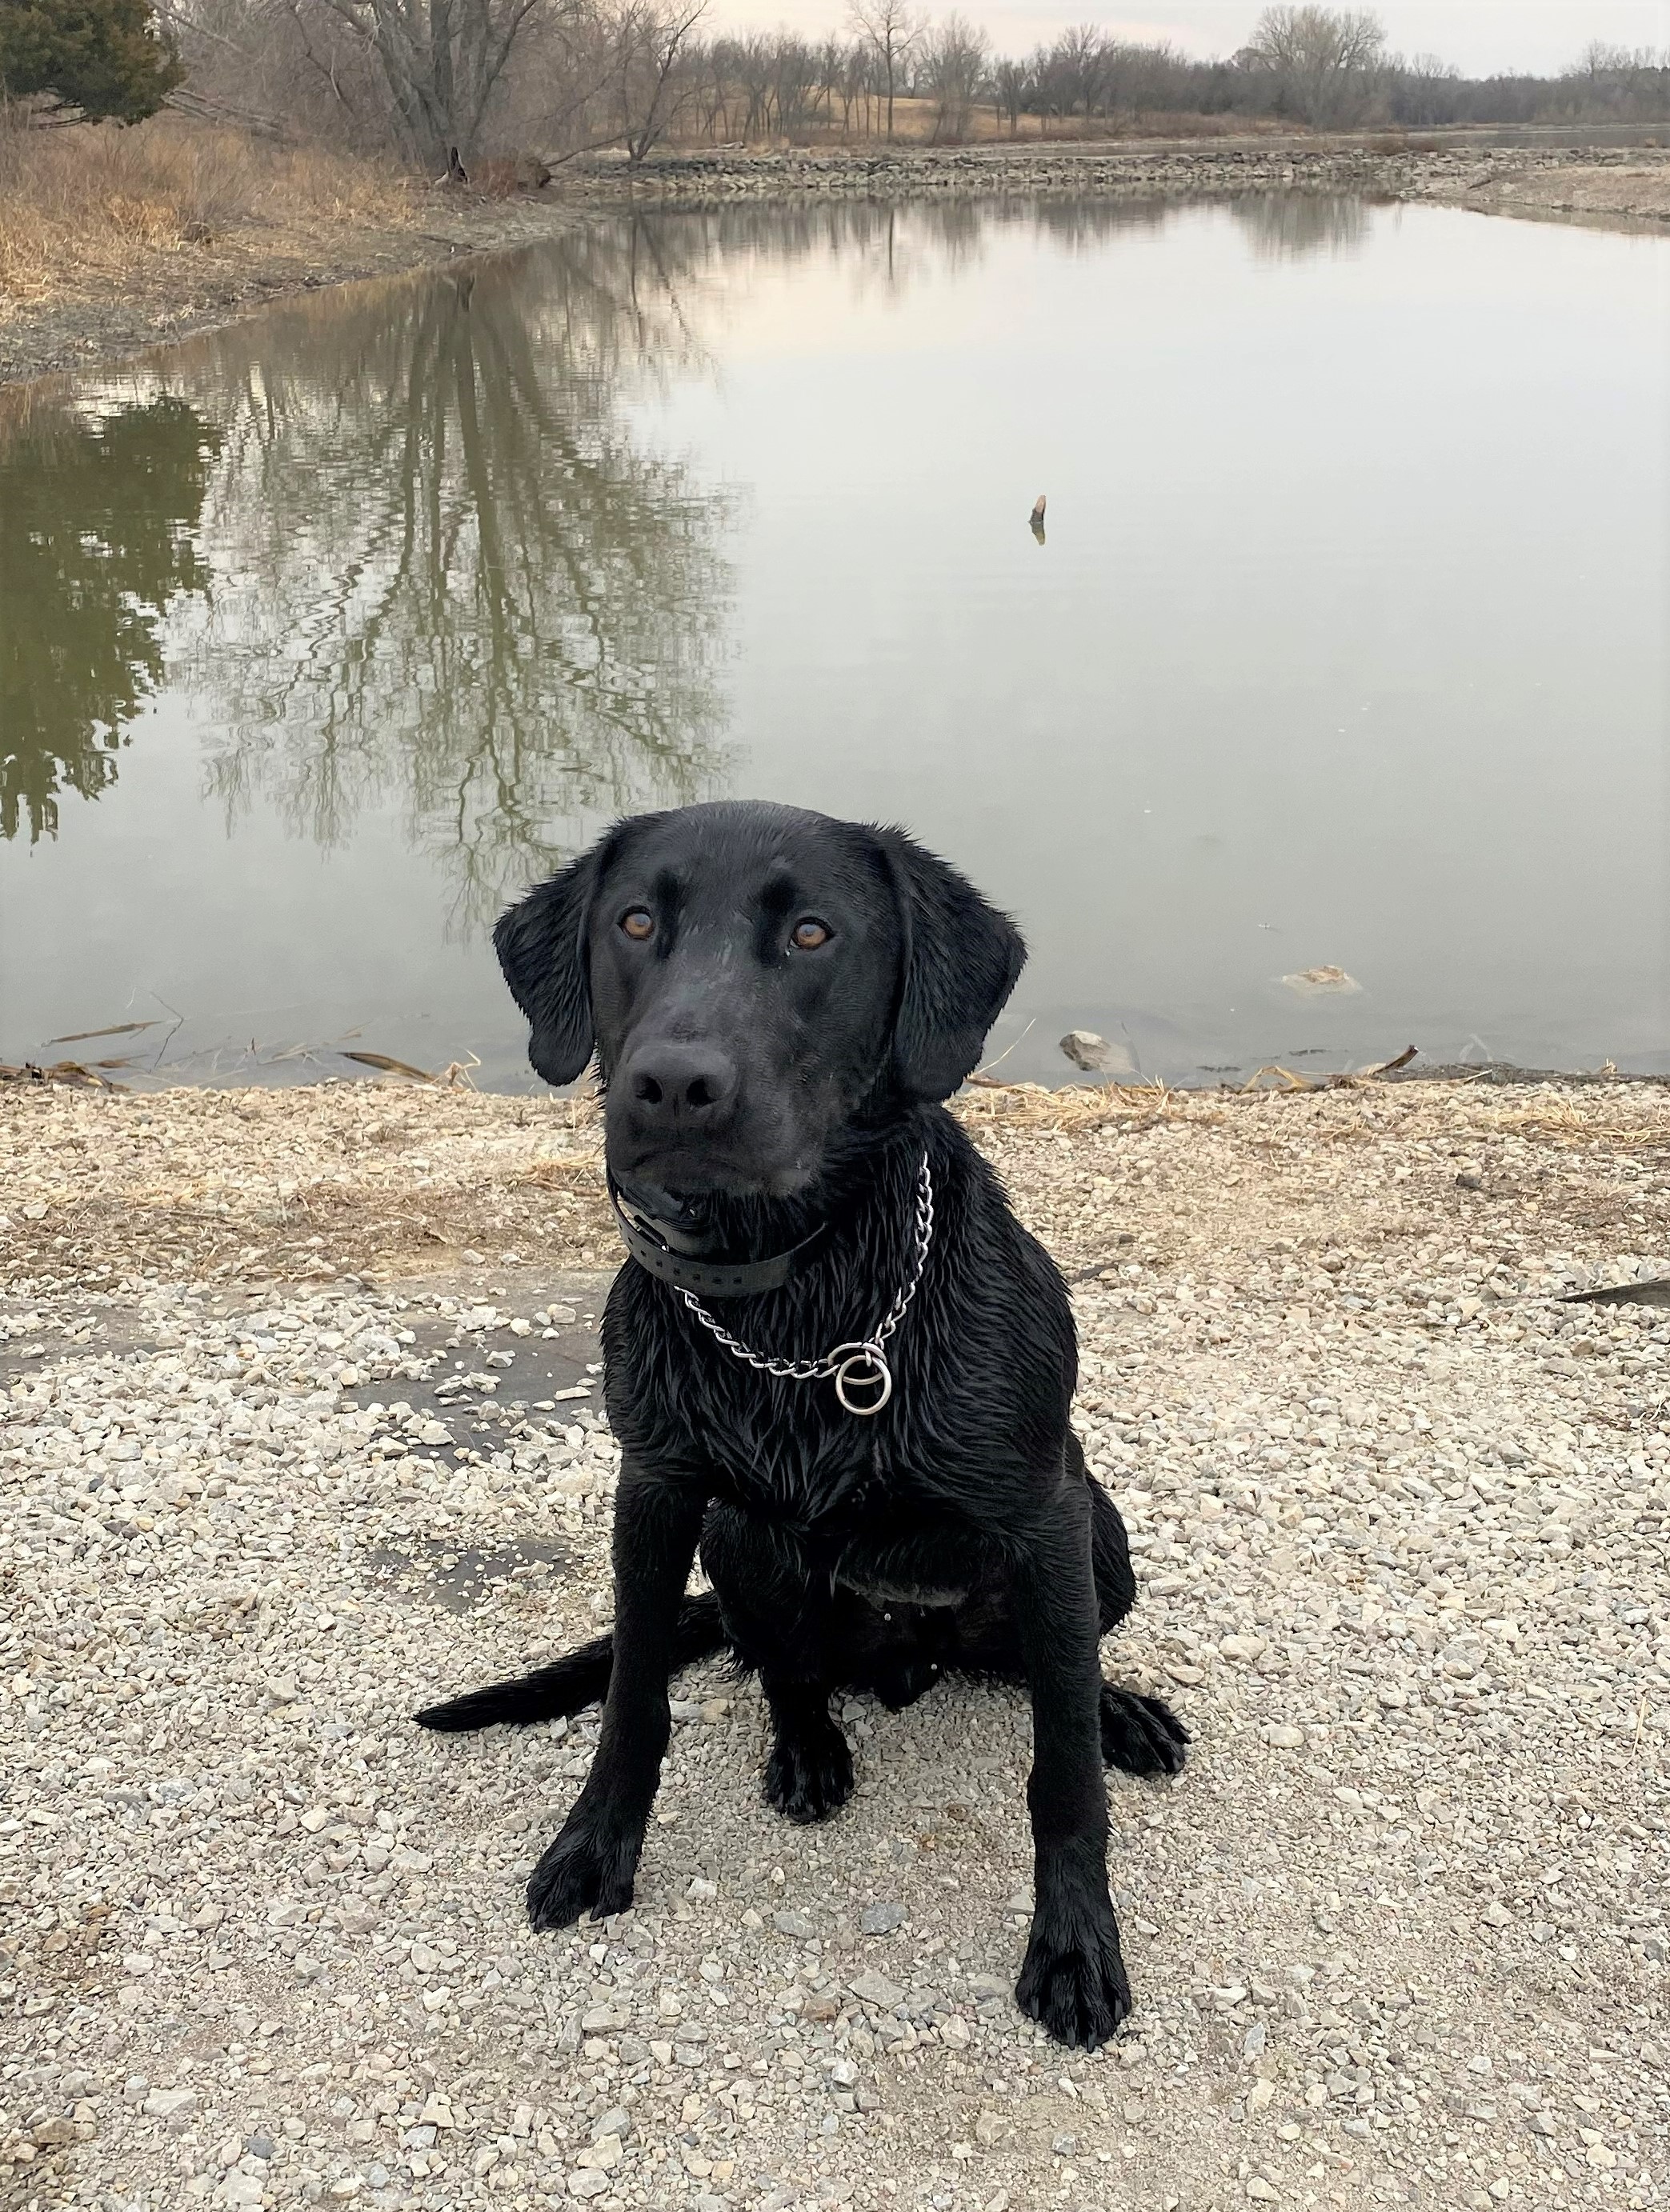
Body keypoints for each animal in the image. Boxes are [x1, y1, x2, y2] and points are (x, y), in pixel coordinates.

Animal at [424, 805, 1194, 2043]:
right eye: (633, 921)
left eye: (813, 933)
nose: (672, 1084)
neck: (797, 1300)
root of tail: (909, 1655)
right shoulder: (653, 1491)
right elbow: (633, 1700)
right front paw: (594, 1845)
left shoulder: (1043, 1519)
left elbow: (1061, 1768)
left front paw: (1075, 1940)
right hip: (738, 1542)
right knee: (787, 1668)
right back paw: (807, 1750)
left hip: (1100, 1540)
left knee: (1048, 1670)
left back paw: (1118, 1708)